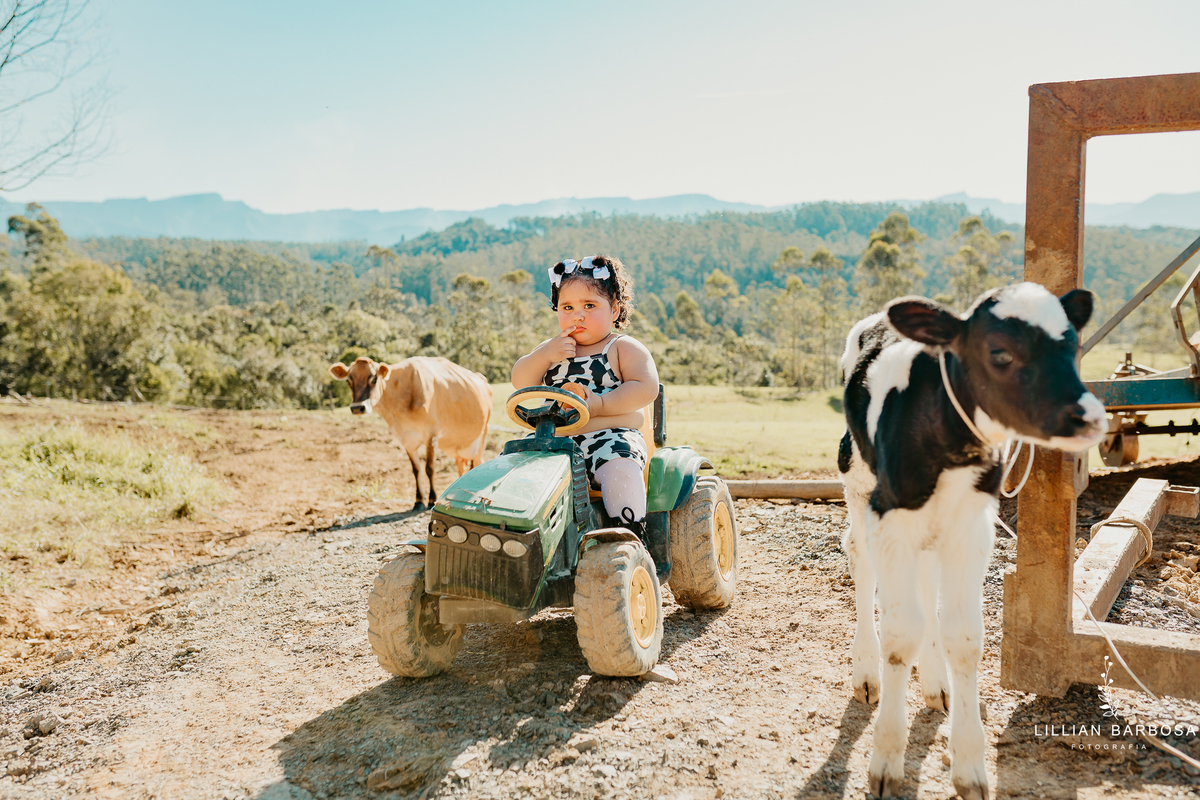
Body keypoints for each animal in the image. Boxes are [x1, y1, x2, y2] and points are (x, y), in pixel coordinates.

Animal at [329, 356, 492, 510]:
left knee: (477, 462)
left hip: (481, 436)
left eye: (373, 379)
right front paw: (418, 500)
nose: (357, 408)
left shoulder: (431, 435)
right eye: (349, 381)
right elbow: (416, 469)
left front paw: (431, 499)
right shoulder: (406, 439)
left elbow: (429, 468)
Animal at [837, 283, 1107, 799]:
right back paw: (865, 672)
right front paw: (886, 757)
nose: (1088, 417)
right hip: (857, 478)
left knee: (926, 583)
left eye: (1072, 346)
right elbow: (900, 636)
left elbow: (963, 638)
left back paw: (935, 684)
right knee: (861, 562)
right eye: (999, 352)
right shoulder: (890, 514)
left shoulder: (972, 527)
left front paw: (968, 765)